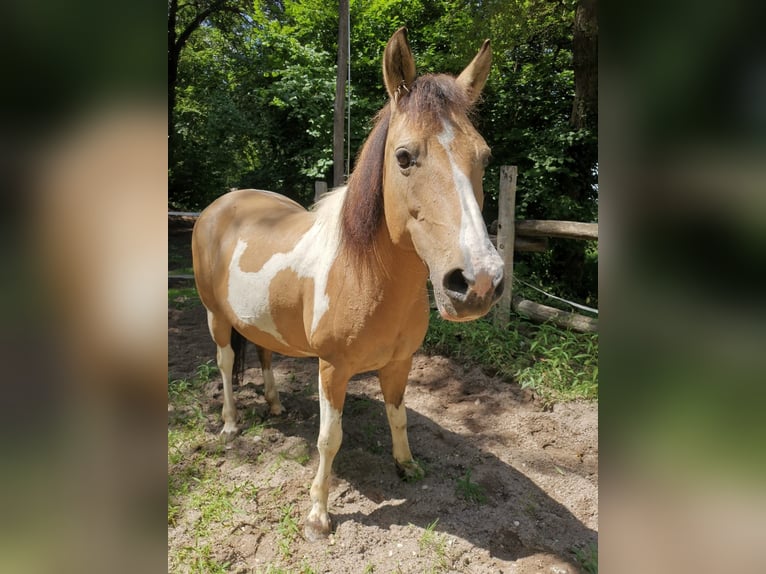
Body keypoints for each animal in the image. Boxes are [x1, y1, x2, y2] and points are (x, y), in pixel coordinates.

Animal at [192, 25, 504, 540]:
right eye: (404, 156)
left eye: (484, 156)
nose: (477, 282)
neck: (366, 276)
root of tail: (222, 203)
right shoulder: (332, 369)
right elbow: (329, 438)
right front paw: (318, 514)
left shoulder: (399, 363)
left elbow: (398, 416)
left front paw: (406, 466)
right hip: (216, 317)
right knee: (224, 363)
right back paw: (231, 424)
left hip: (258, 320)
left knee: (263, 353)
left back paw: (275, 406)